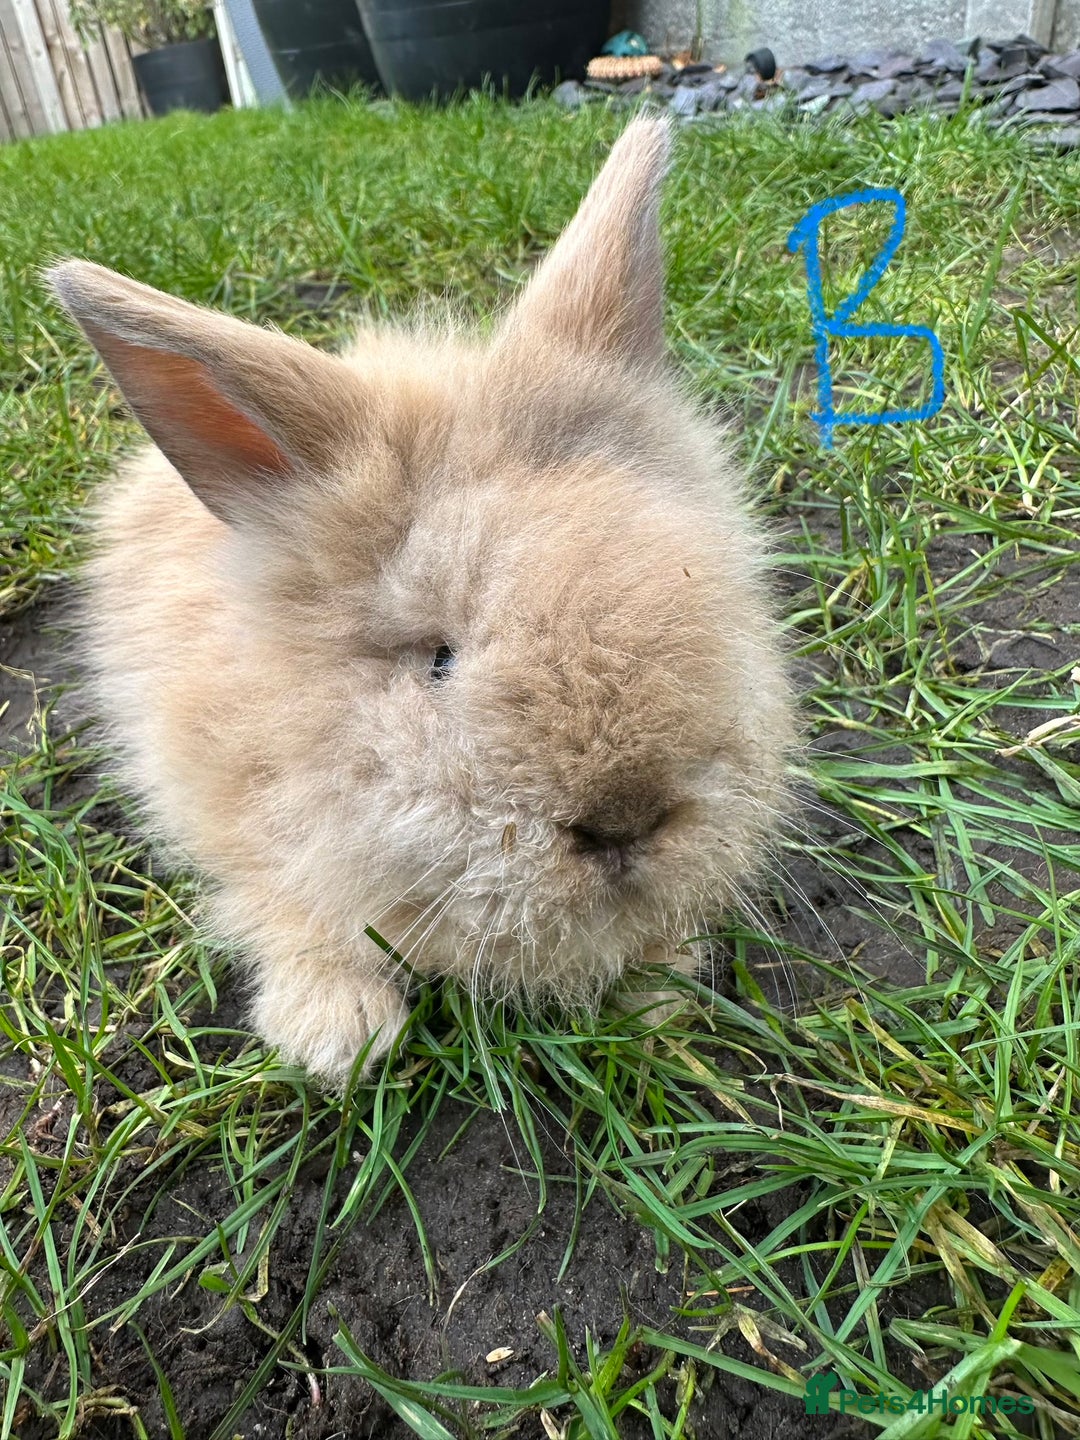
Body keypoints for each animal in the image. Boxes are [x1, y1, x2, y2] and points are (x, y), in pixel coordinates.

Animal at [48, 116, 796, 1086]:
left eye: (703, 588)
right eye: (438, 660)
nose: (627, 820)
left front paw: (659, 996)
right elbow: (281, 904)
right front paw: (339, 1035)